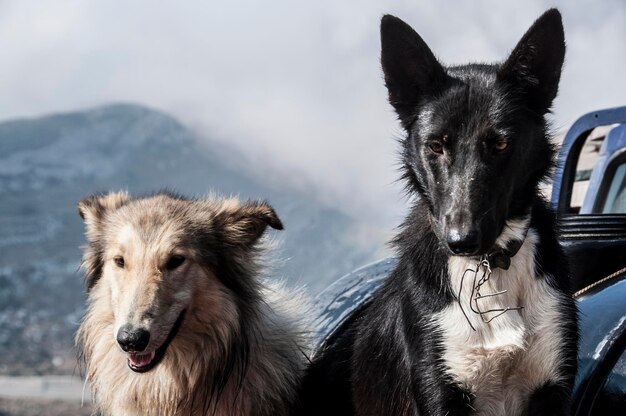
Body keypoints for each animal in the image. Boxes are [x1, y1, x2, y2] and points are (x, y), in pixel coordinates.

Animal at [298, 7, 576, 416]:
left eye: (500, 144)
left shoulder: (552, 387)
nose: (461, 241)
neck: (488, 267)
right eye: (436, 146)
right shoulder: (438, 390)